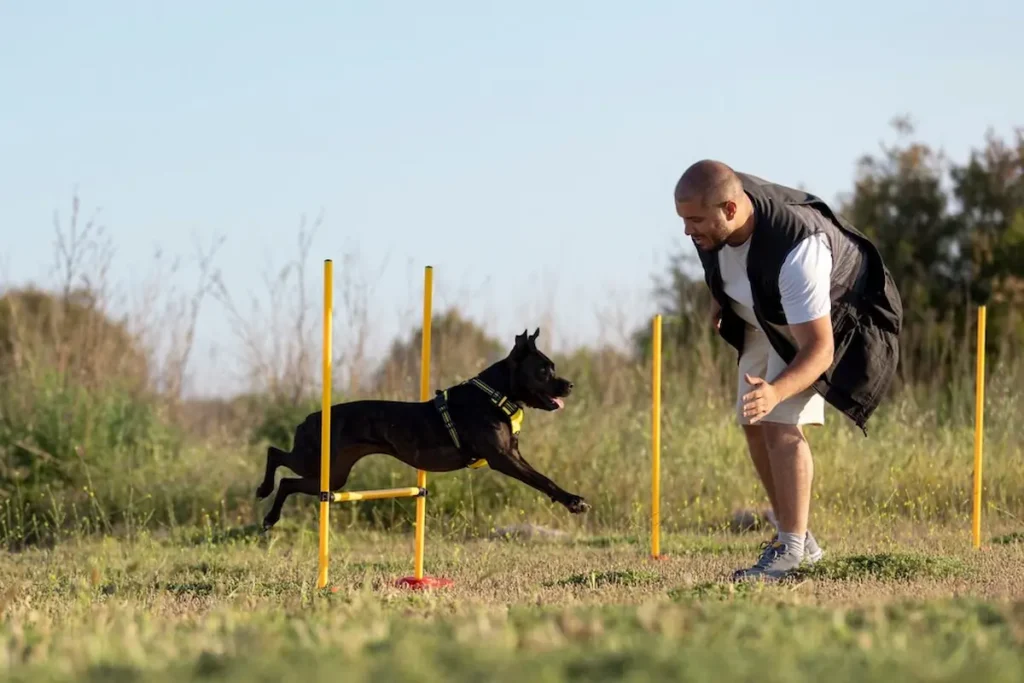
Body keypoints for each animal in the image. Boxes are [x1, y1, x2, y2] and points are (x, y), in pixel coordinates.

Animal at [256, 327, 593, 532]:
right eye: (543, 370)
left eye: (553, 367)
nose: (570, 385)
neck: (495, 394)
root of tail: (310, 418)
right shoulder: (503, 459)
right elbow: (543, 479)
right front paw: (574, 501)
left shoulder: (512, 454)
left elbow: (543, 477)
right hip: (317, 461)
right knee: (276, 456)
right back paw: (264, 495)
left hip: (333, 476)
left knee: (288, 481)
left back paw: (270, 515)